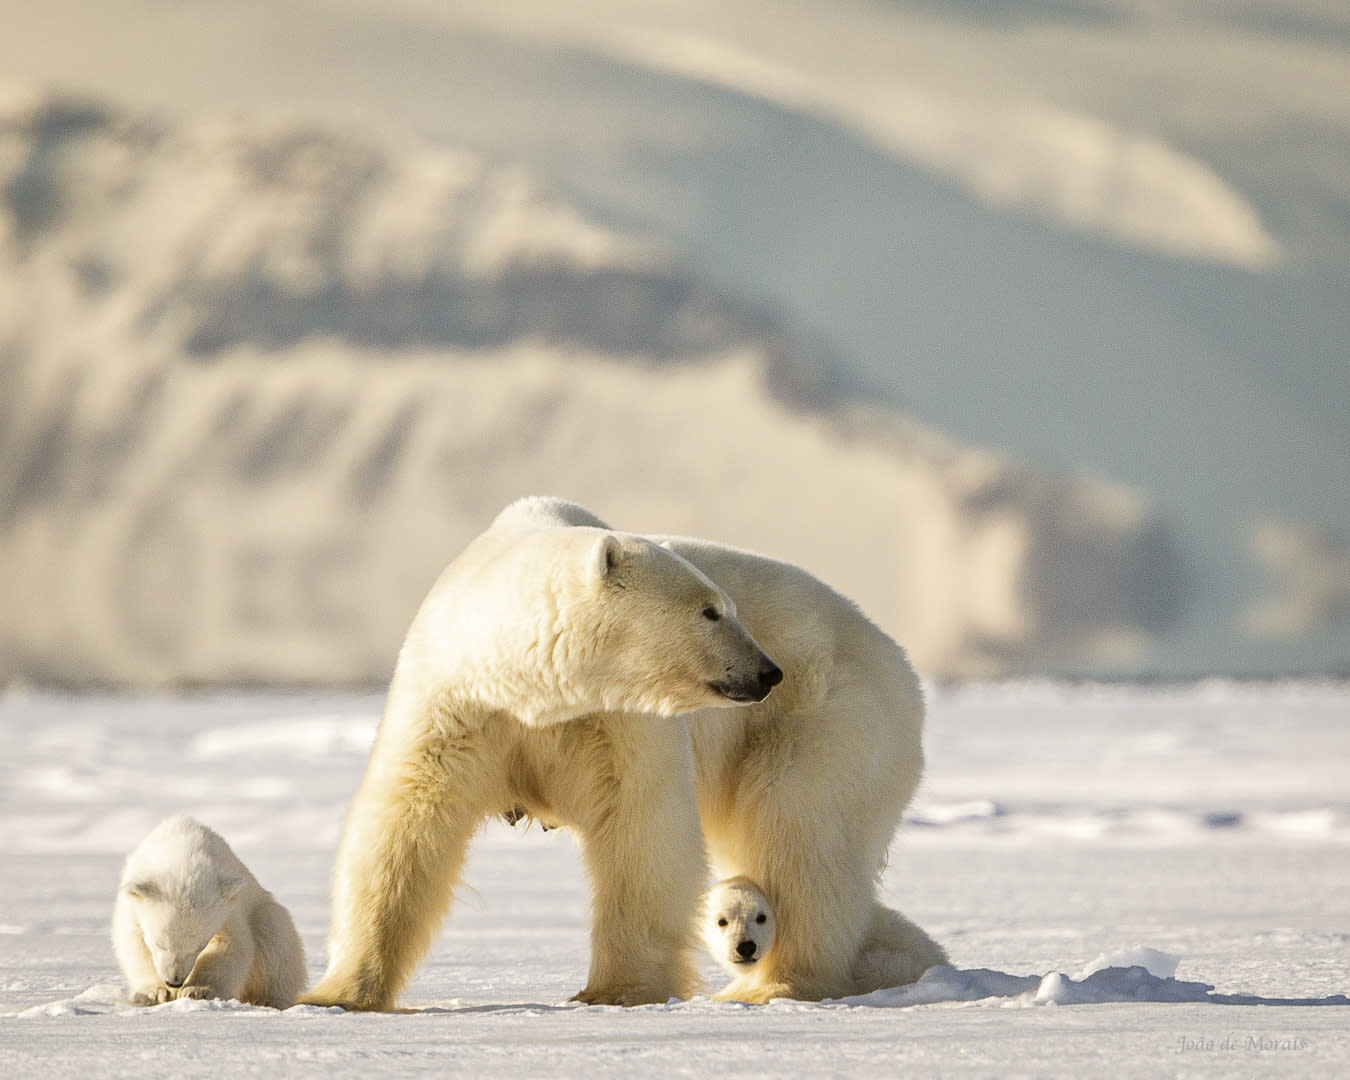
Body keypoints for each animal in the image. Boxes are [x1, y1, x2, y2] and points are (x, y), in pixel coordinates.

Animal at [299, 502, 777, 1009]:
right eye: (710, 611)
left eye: (724, 606)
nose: (767, 671)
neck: (533, 690)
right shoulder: (456, 705)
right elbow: (406, 825)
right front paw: (338, 994)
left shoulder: (617, 721)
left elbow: (642, 826)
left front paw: (620, 989)